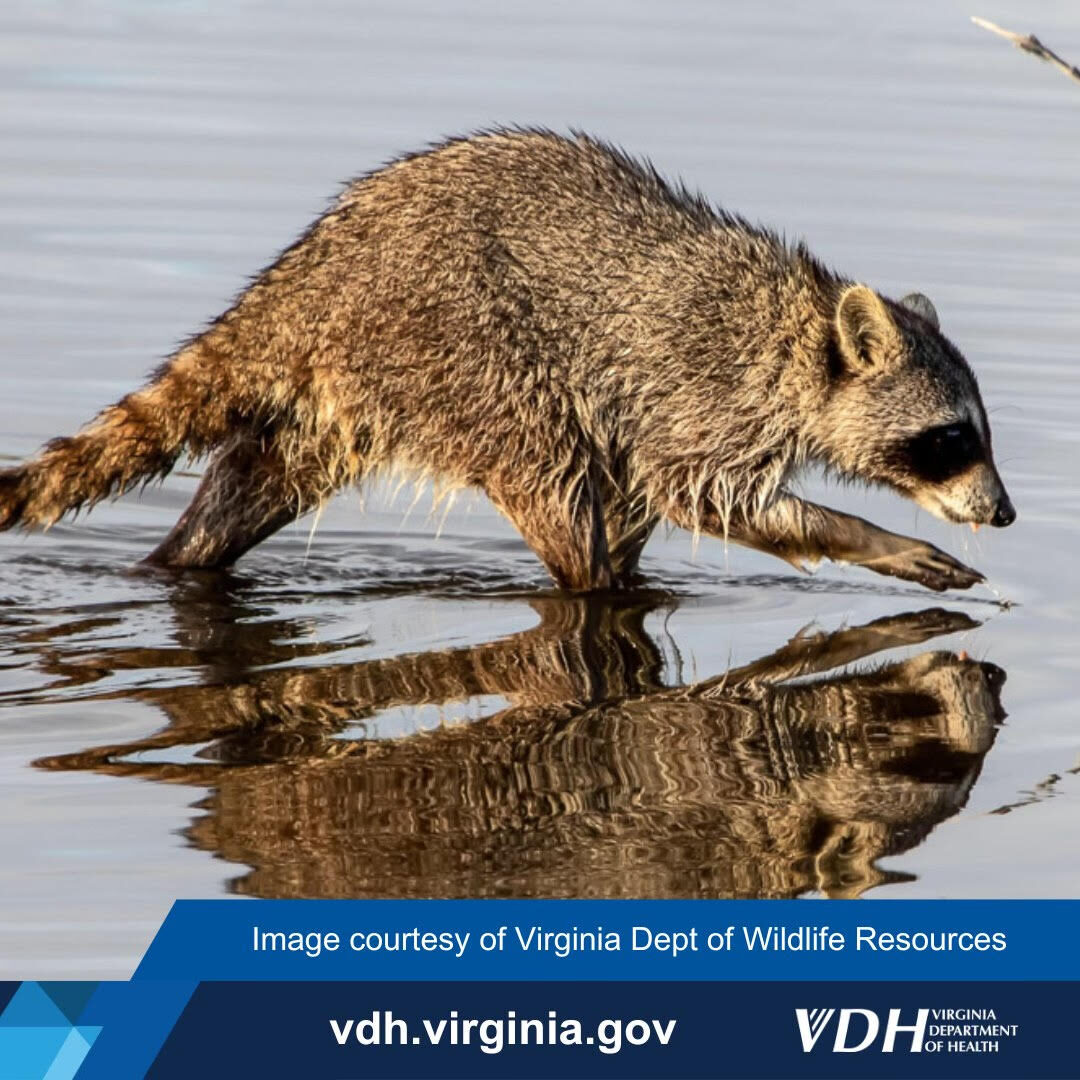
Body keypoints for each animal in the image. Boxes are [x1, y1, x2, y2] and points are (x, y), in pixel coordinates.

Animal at [0, 128, 1014, 592]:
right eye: (950, 439)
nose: (1004, 514)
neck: (798, 338)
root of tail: (308, 277)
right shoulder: (701, 392)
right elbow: (700, 493)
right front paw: (869, 537)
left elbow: (649, 496)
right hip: (462, 349)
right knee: (555, 487)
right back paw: (595, 581)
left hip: (358, 388)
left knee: (252, 481)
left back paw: (184, 555)